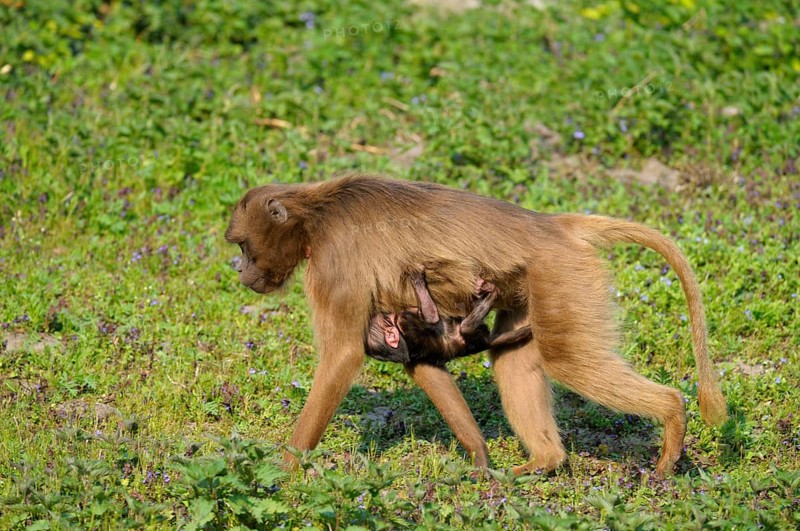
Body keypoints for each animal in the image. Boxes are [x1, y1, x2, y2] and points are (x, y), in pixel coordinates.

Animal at [365, 267, 533, 365]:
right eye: (386, 321)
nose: (380, 314)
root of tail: (482, 344)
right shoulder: (404, 322)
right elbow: (432, 316)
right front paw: (417, 279)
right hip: (473, 334)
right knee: (465, 327)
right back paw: (492, 292)